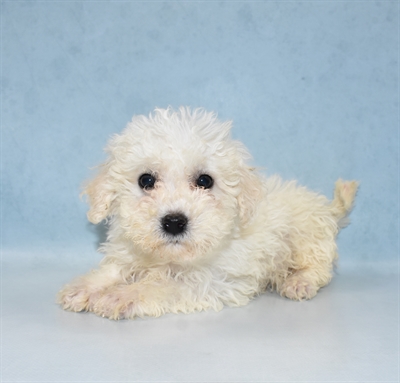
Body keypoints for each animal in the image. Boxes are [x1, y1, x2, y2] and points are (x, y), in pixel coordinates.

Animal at [57, 107, 360, 320]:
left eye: (205, 181)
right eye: (146, 180)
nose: (174, 222)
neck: (170, 259)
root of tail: (326, 208)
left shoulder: (210, 280)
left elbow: (163, 286)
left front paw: (123, 295)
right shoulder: (131, 252)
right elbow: (114, 269)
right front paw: (85, 287)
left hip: (306, 238)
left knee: (318, 268)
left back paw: (299, 281)